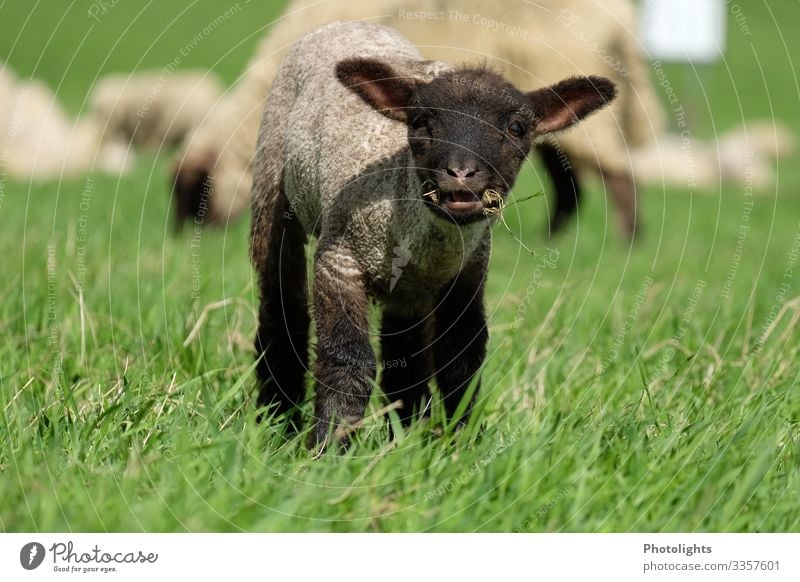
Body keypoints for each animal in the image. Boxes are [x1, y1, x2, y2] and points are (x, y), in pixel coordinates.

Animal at [172, 0, 652, 240]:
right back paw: (556, 236)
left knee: (616, 173)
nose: (179, 238)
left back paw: (626, 240)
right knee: (571, 181)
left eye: (196, 189)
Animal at [253, 20, 616, 444]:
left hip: (408, 291)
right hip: (272, 181)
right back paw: (277, 413)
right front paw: (329, 443)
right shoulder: (338, 260)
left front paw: (461, 442)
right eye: (420, 122)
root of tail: (349, 23)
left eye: (517, 128)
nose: (460, 173)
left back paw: (405, 433)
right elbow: (348, 359)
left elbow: (460, 360)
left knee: (404, 350)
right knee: (281, 306)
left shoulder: (467, 273)